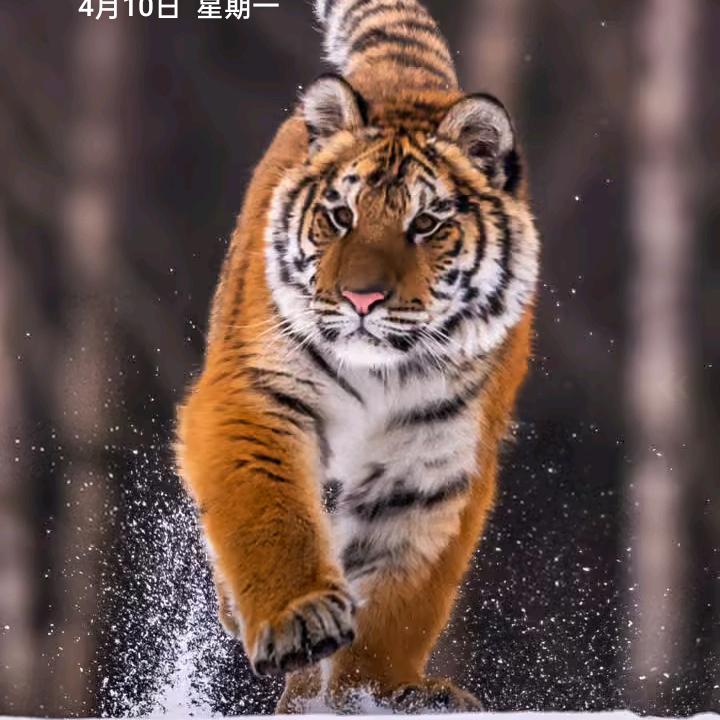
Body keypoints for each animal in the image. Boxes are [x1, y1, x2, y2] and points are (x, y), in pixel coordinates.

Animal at [176, 0, 540, 712]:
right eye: (341, 216)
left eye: (425, 224)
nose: (361, 297)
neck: (386, 369)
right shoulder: (259, 394)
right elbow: (271, 518)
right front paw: (299, 621)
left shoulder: (432, 465)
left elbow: (401, 598)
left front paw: (378, 691)